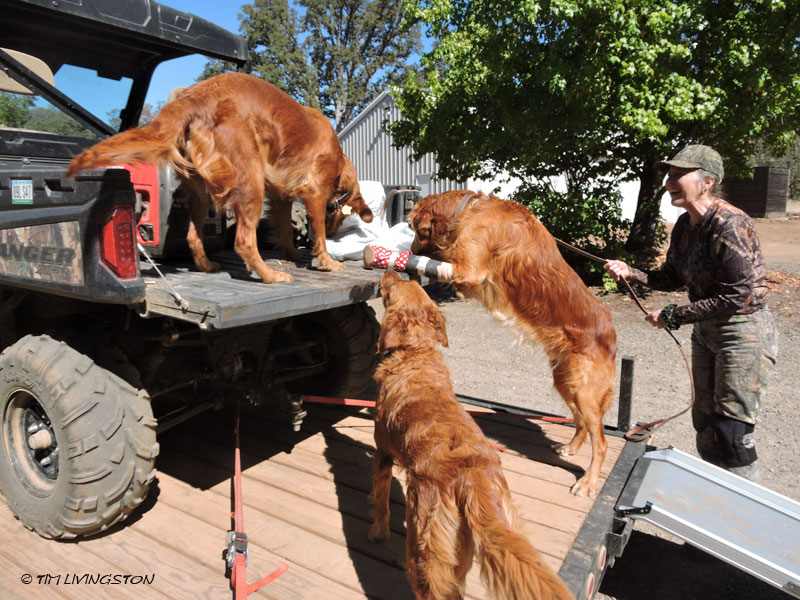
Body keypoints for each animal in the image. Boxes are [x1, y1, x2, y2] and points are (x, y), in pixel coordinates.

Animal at [67, 72, 372, 283]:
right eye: (341, 217)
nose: (335, 231)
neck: (341, 159)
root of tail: (193, 98)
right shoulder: (315, 192)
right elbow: (317, 232)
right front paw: (327, 261)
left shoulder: (279, 194)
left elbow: (285, 226)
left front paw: (292, 252)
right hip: (250, 181)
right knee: (244, 241)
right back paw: (269, 276)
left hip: (200, 190)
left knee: (192, 235)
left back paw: (206, 266)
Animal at [369, 270, 574, 600]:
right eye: (407, 283)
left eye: (394, 287)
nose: (393, 271)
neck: (415, 354)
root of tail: (475, 480)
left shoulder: (382, 452)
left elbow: (380, 502)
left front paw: (376, 534)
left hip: (425, 555)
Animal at [408, 190, 617, 497]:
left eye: (414, 230)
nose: (410, 248)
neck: (469, 209)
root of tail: (611, 332)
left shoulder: (468, 271)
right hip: (566, 382)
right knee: (580, 423)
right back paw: (571, 447)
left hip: (584, 391)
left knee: (601, 441)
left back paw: (588, 482)